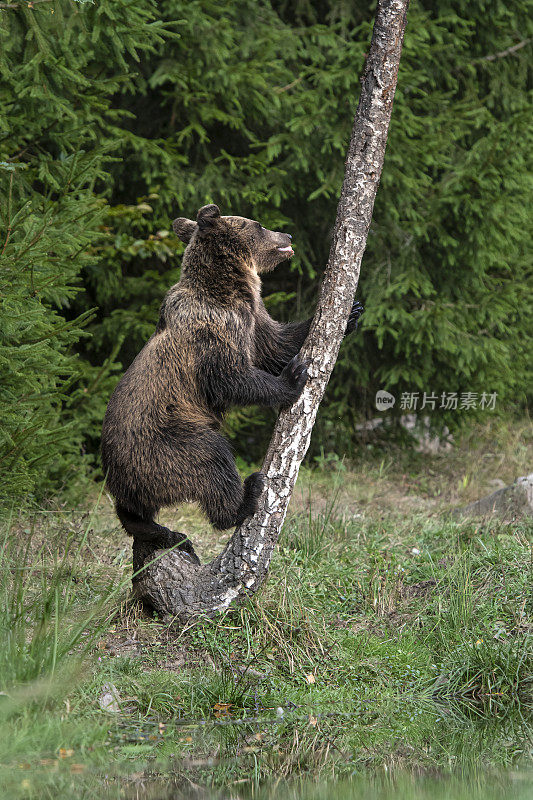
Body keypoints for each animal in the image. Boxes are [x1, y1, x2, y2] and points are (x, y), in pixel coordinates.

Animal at [100, 205, 362, 564]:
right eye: (259, 224)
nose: (287, 234)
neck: (230, 290)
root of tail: (116, 475)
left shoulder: (253, 319)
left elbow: (276, 343)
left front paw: (351, 312)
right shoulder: (212, 330)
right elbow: (232, 378)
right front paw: (292, 377)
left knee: (134, 512)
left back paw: (162, 531)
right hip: (163, 443)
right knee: (212, 459)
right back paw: (245, 497)